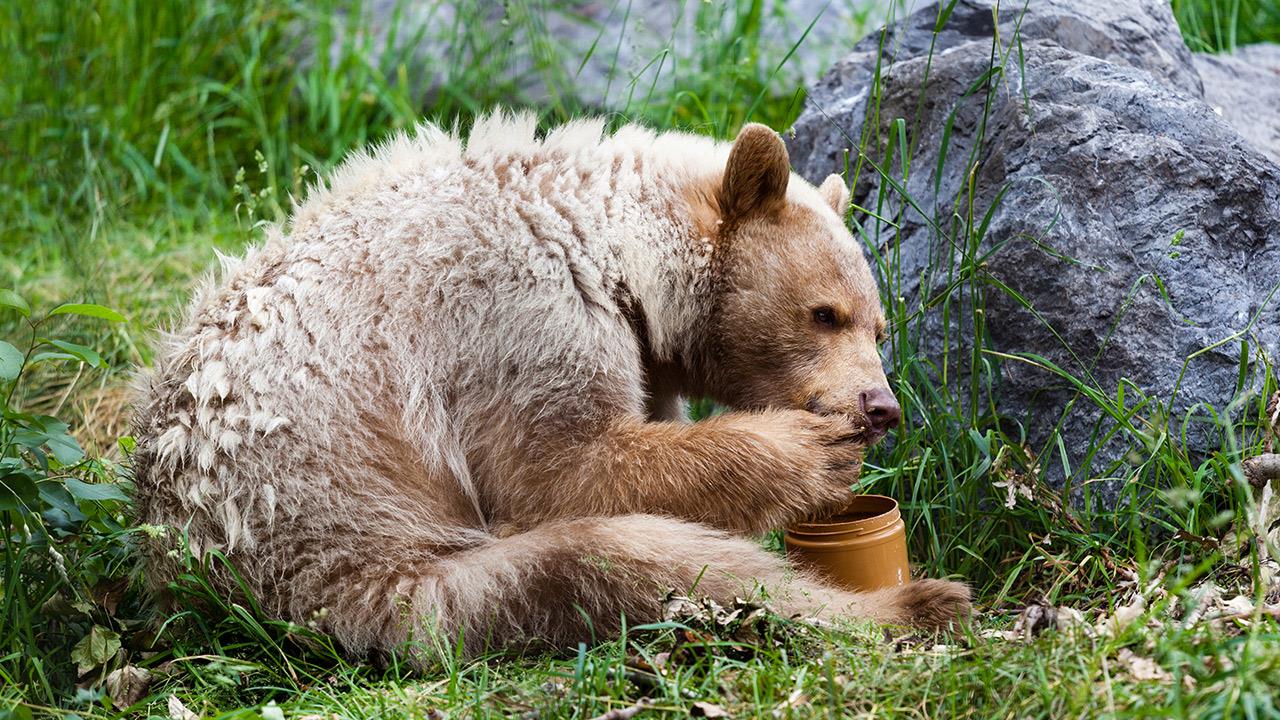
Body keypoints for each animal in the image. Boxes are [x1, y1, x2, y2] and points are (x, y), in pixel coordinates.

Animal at [129, 113, 967, 661]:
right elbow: (561, 469)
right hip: (371, 561)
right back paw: (911, 605)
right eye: (825, 313)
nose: (879, 406)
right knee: (626, 563)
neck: (609, 244)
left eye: (880, 327)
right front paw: (811, 451)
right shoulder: (516, 313)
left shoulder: (637, 356)